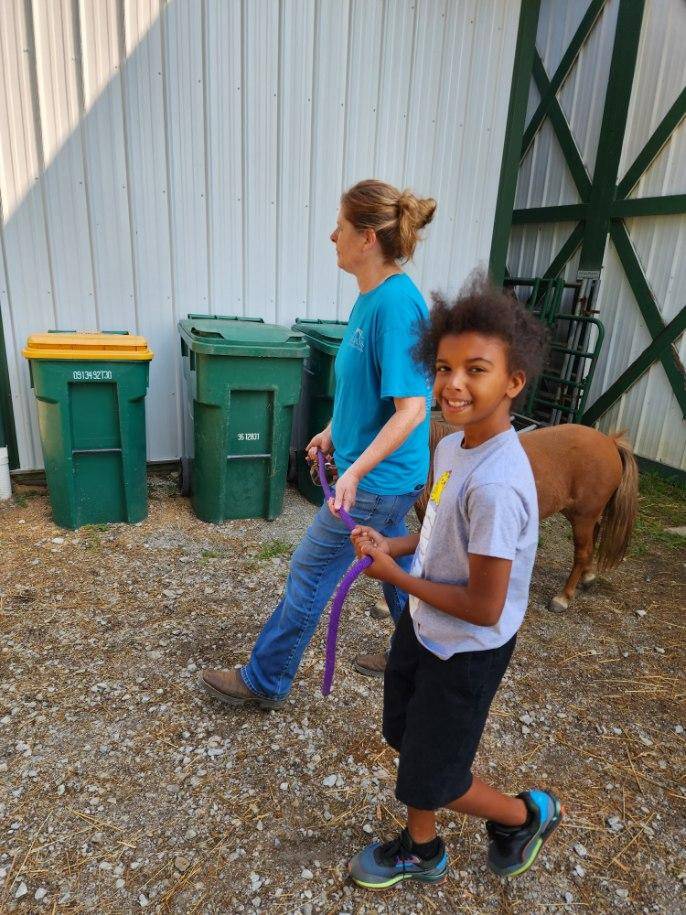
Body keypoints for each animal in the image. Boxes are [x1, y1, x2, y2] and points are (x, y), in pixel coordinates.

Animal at [416, 420, 644, 608]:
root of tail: (610, 442)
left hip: (583, 516)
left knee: (582, 552)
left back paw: (563, 597)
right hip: (579, 514)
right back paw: (587, 576)